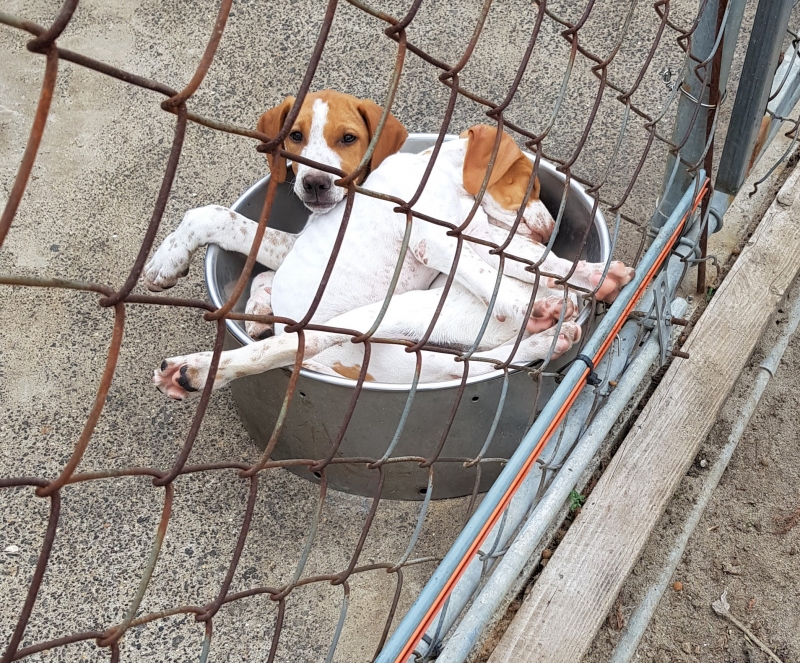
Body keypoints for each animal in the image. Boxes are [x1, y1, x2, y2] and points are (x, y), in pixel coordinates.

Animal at [144, 92, 633, 397]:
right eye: (529, 185)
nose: (550, 227)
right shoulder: (439, 237)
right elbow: (491, 270)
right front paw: (536, 297)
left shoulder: (475, 233)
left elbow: (525, 259)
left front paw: (591, 275)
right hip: (381, 316)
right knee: (285, 348)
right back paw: (192, 371)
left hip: (416, 346)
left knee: (477, 365)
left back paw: (556, 327)